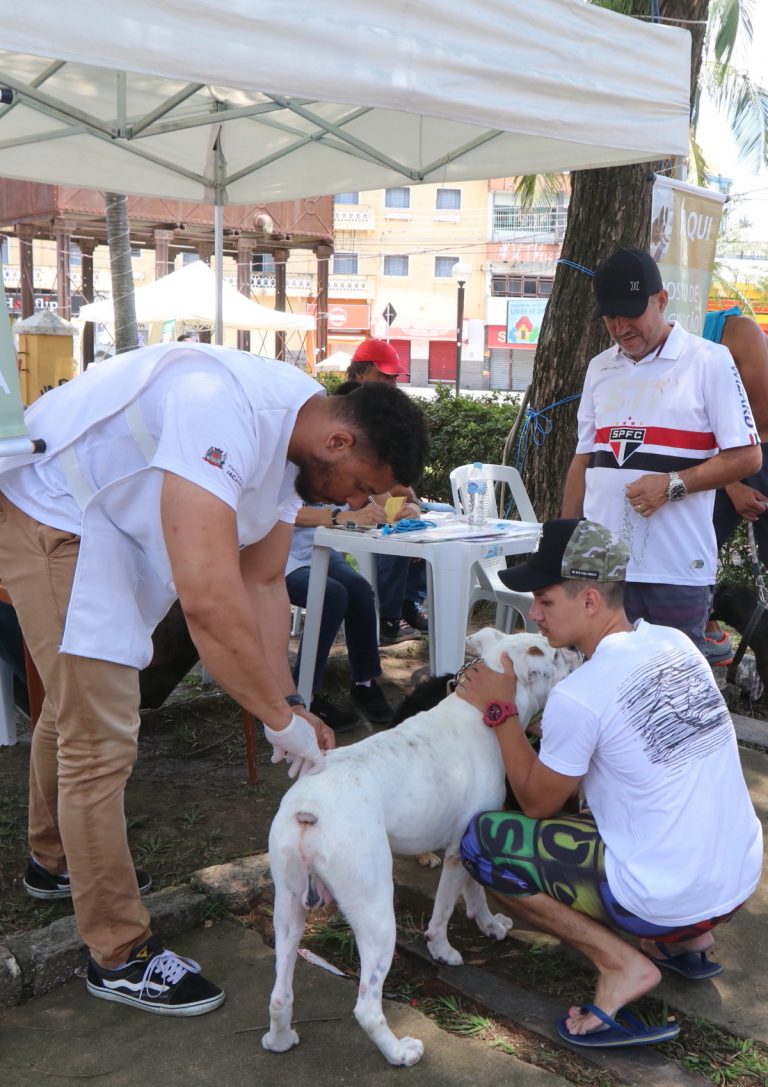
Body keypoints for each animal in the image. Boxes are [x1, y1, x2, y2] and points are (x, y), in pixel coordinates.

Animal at [262, 626, 577, 1065]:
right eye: (556, 654)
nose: (578, 649)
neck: (482, 710)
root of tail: (310, 810)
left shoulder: (471, 842)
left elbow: (476, 894)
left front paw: (490, 925)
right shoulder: (457, 854)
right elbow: (445, 909)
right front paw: (443, 951)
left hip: (289, 907)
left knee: (280, 991)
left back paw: (279, 1039)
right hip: (377, 916)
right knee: (367, 1005)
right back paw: (399, 1052)